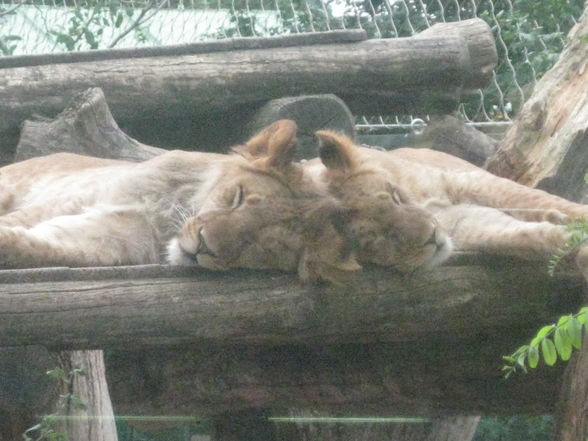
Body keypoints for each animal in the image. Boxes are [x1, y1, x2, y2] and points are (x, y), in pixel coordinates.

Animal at [0, 120, 358, 282]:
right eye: (238, 197)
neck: (166, 216)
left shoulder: (110, 240)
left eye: (259, 245)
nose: (203, 246)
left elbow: (43, 245)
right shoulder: (76, 198)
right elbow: (20, 220)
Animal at [304, 130, 588, 276]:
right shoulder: (458, 222)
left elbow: (528, 197)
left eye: (395, 196)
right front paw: (574, 245)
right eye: (374, 240)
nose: (432, 237)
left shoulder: (463, 181)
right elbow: (516, 235)